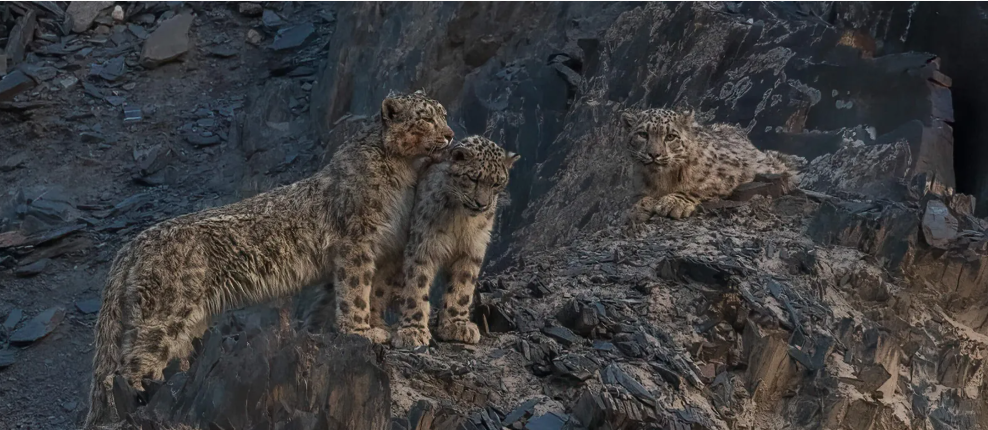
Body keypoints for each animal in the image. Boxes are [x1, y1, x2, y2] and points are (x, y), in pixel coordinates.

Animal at [84, 91, 453, 428]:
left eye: (444, 114)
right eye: (425, 119)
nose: (450, 135)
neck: (402, 177)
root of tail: (131, 246)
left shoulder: (386, 249)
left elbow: (365, 293)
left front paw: (374, 326)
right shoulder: (357, 243)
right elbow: (354, 289)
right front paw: (361, 331)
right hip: (164, 313)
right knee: (129, 364)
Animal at [388, 136, 519, 348]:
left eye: (497, 183)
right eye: (473, 178)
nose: (482, 204)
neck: (461, 220)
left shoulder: (472, 249)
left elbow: (463, 286)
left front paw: (457, 324)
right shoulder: (423, 245)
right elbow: (416, 284)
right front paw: (413, 330)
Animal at [620, 108, 804, 222]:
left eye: (671, 136)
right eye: (643, 134)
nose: (654, 154)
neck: (662, 179)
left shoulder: (726, 171)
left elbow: (699, 187)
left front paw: (673, 203)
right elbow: (640, 196)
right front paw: (638, 208)